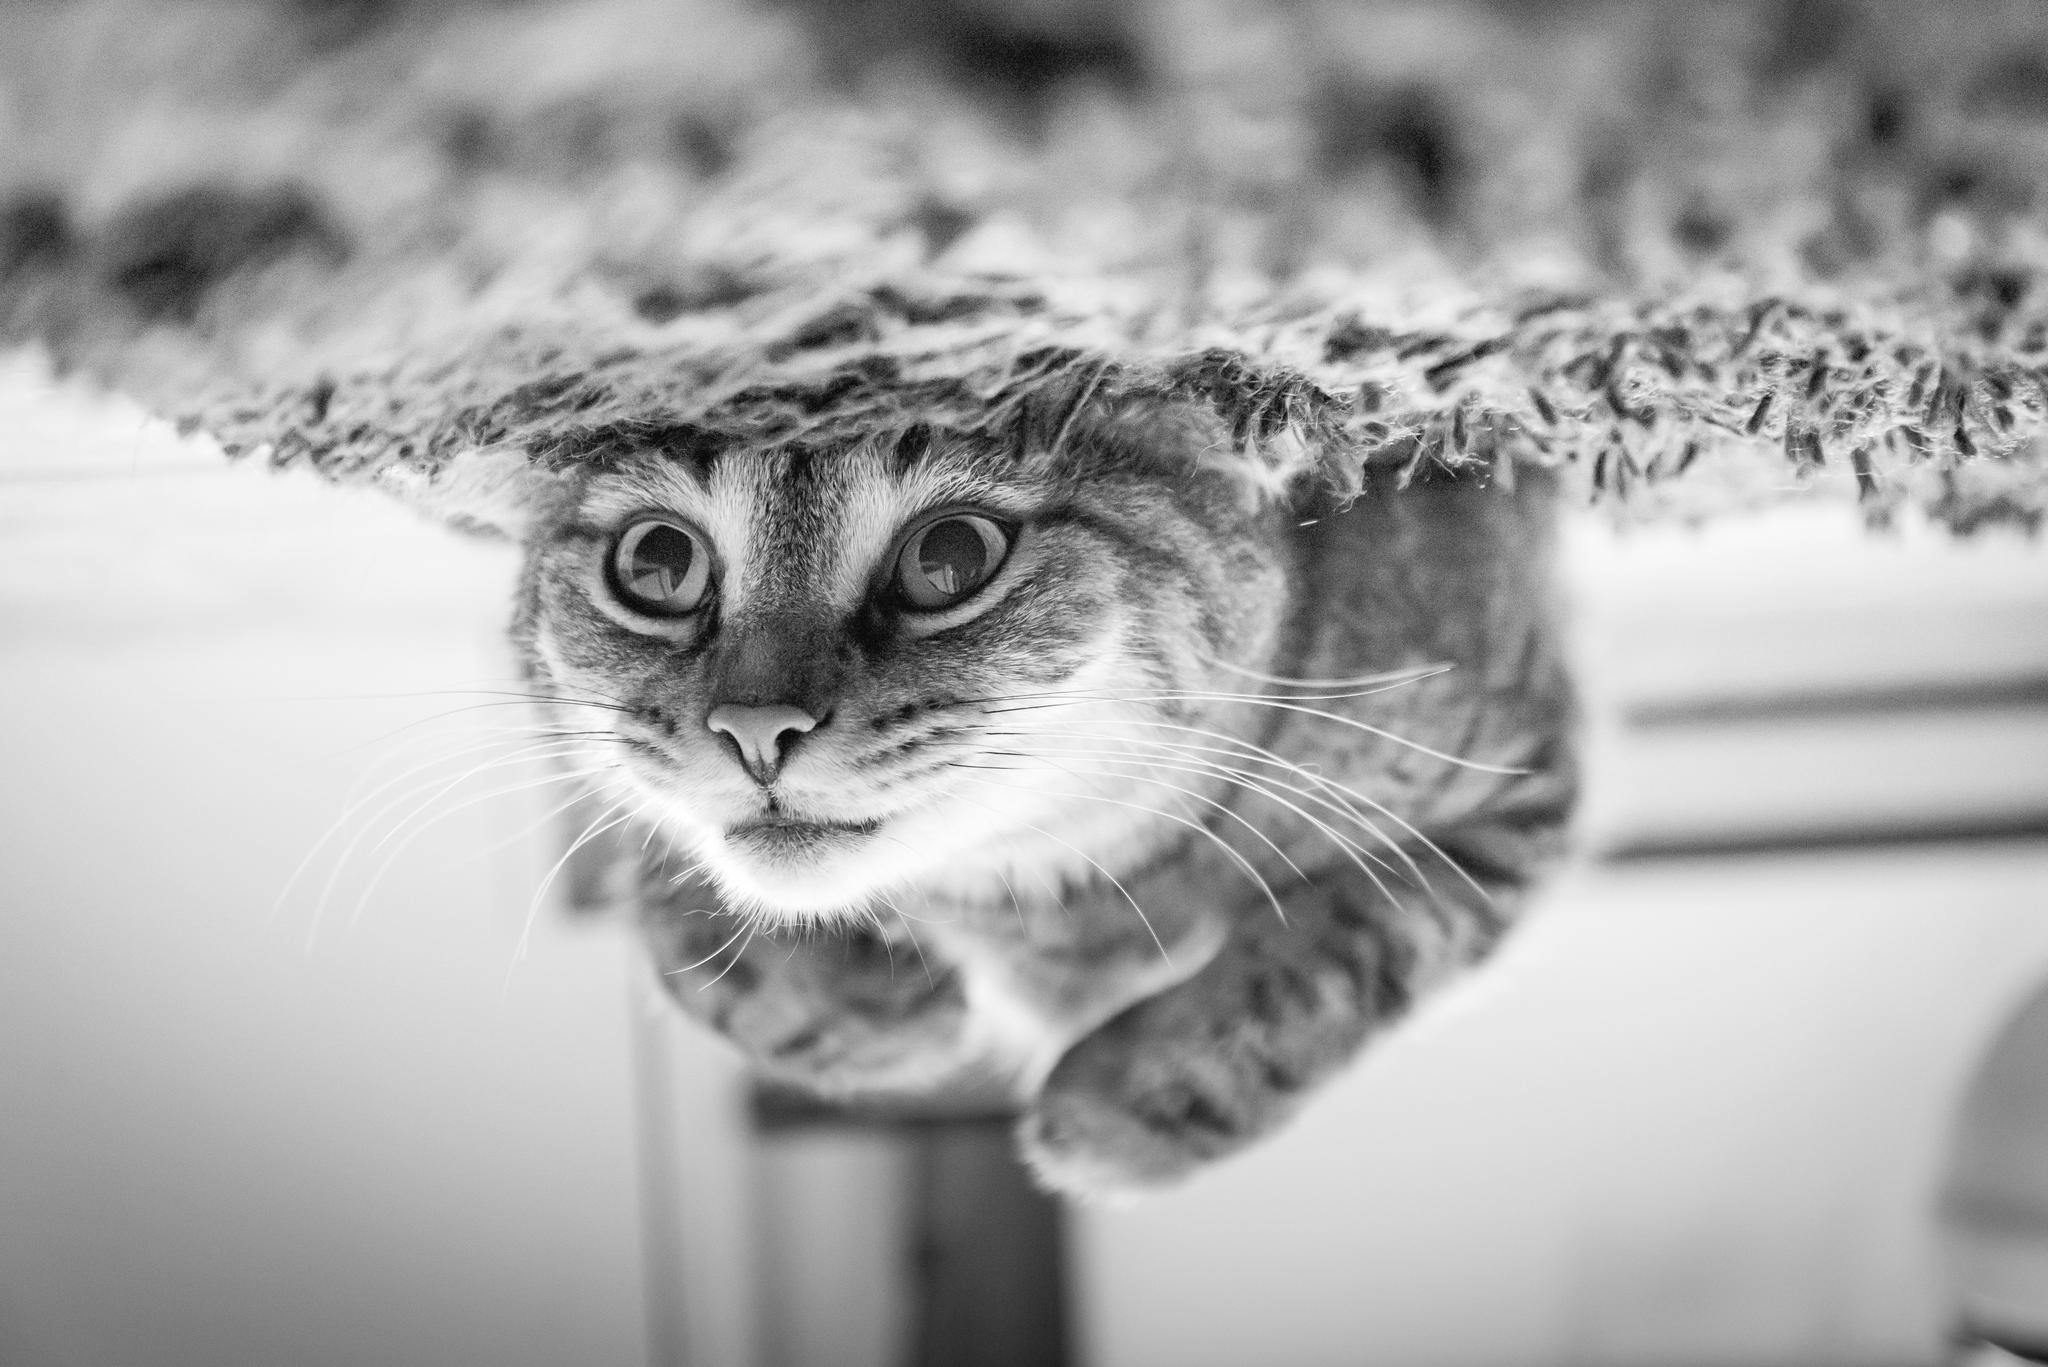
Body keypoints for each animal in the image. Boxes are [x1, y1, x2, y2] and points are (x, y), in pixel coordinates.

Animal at [407, 377, 1572, 1196]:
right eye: (656, 562)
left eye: (951, 555)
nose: (753, 729)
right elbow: (681, 928)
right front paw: (873, 1007)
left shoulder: (1519, 782)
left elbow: (1348, 948)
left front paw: (1124, 1107)